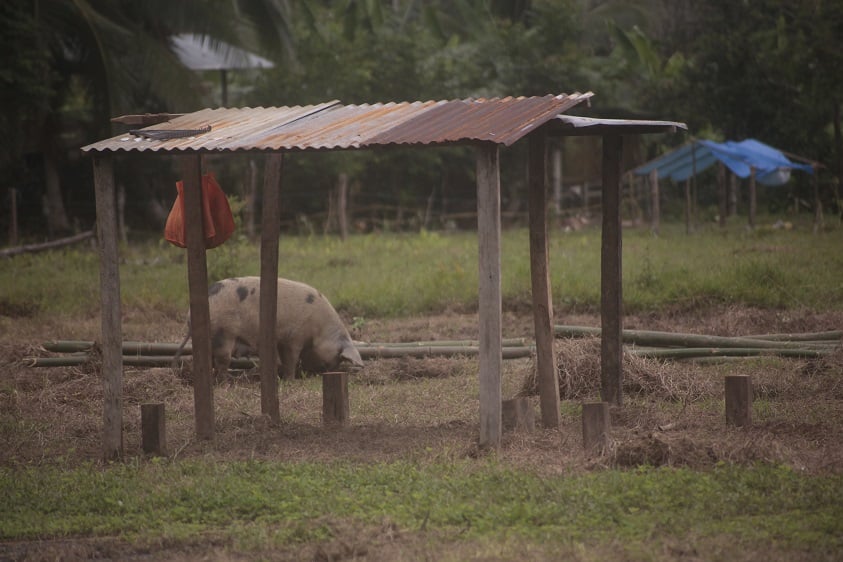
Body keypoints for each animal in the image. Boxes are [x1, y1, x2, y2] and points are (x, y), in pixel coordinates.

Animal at [175, 274, 362, 378]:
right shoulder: (294, 337)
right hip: (223, 332)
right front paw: (290, 379)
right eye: (336, 358)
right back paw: (225, 381)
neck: (319, 331)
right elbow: (290, 358)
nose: (316, 375)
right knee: (222, 359)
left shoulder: (280, 339)